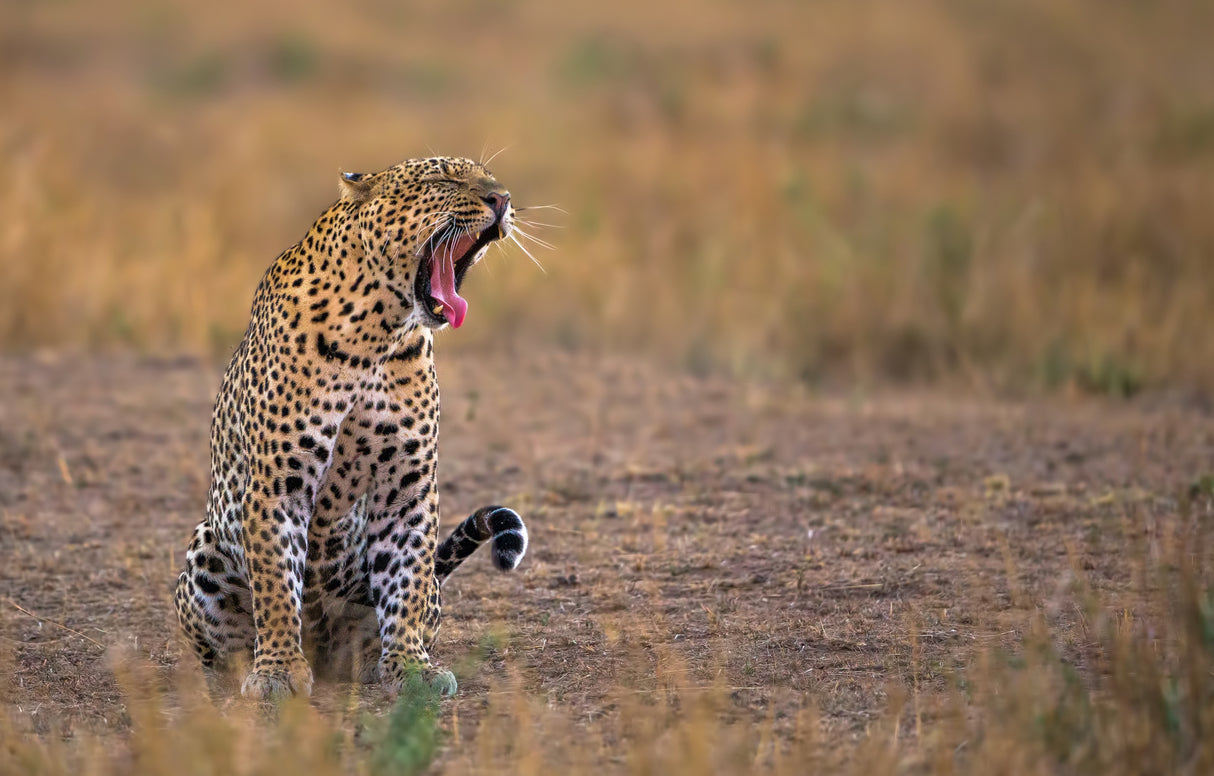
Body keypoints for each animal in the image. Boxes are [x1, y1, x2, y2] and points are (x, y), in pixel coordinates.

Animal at [174, 156, 529, 701]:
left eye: (488, 177)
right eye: (443, 180)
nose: (503, 199)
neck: (378, 336)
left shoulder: (406, 486)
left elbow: (405, 581)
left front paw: (411, 666)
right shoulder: (278, 483)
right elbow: (276, 585)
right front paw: (277, 670)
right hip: (205, 550)